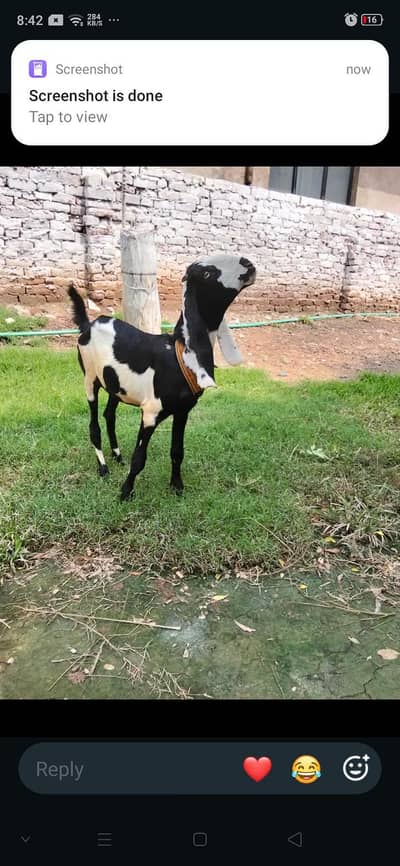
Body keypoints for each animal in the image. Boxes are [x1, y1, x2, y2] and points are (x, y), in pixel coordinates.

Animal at [68, 253, 256, 501]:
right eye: (207, 274)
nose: (248, 265)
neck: (178, 355)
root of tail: (88, 324)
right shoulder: (150, 412)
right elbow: (139, 457)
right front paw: (125, 492)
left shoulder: (183, 411)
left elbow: (177, 451)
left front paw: (177, 486)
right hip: (89, 377)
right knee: (94, 424)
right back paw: (103, 467)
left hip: (116, 386)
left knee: (109, 415)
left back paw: (117, 455)